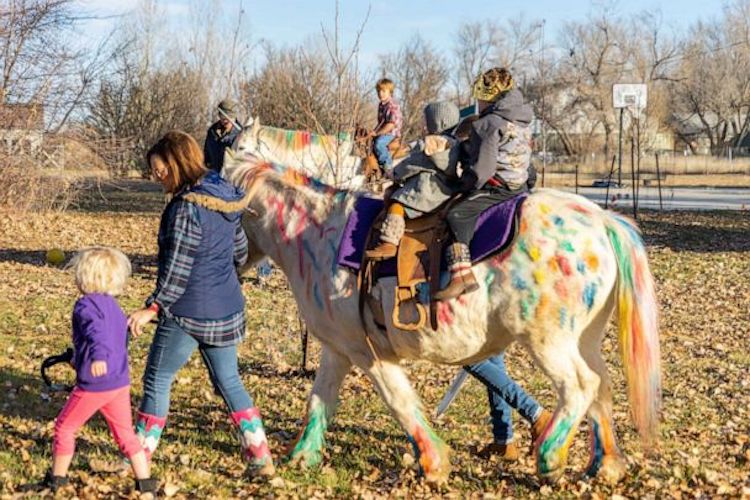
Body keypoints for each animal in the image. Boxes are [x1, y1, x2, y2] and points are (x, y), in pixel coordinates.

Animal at [223, 154, 664, 486]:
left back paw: (550, 458)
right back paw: (605, 465)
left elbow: (399, 402)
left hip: (548, 341)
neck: (320, 236)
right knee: (601, 385)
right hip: (584, 339)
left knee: (580, 385)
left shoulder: (369, 355)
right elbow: (319, 400)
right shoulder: (339, 350)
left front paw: (434, 464)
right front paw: (301, 457)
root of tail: (601, 220)